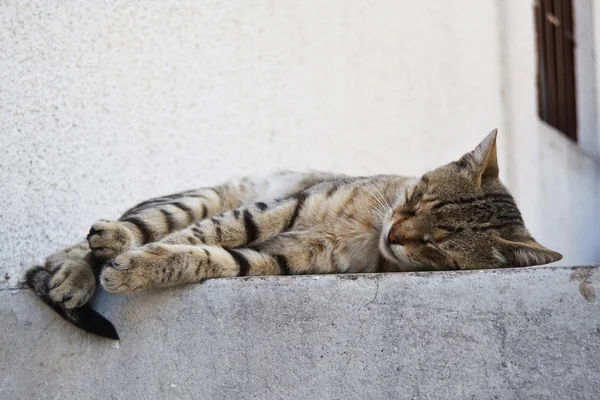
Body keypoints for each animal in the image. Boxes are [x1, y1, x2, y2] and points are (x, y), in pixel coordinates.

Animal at [23, 130, 564, 340]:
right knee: (91, 240)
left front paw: (144, 266)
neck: (370, 230)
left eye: (434, 244)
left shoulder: (282, 261)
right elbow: (215, 230)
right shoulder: (285, 206)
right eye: (416, 197)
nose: (396, 232)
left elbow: (213, 255)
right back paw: (80, 267)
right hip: (199, 195)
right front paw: (130, 254)